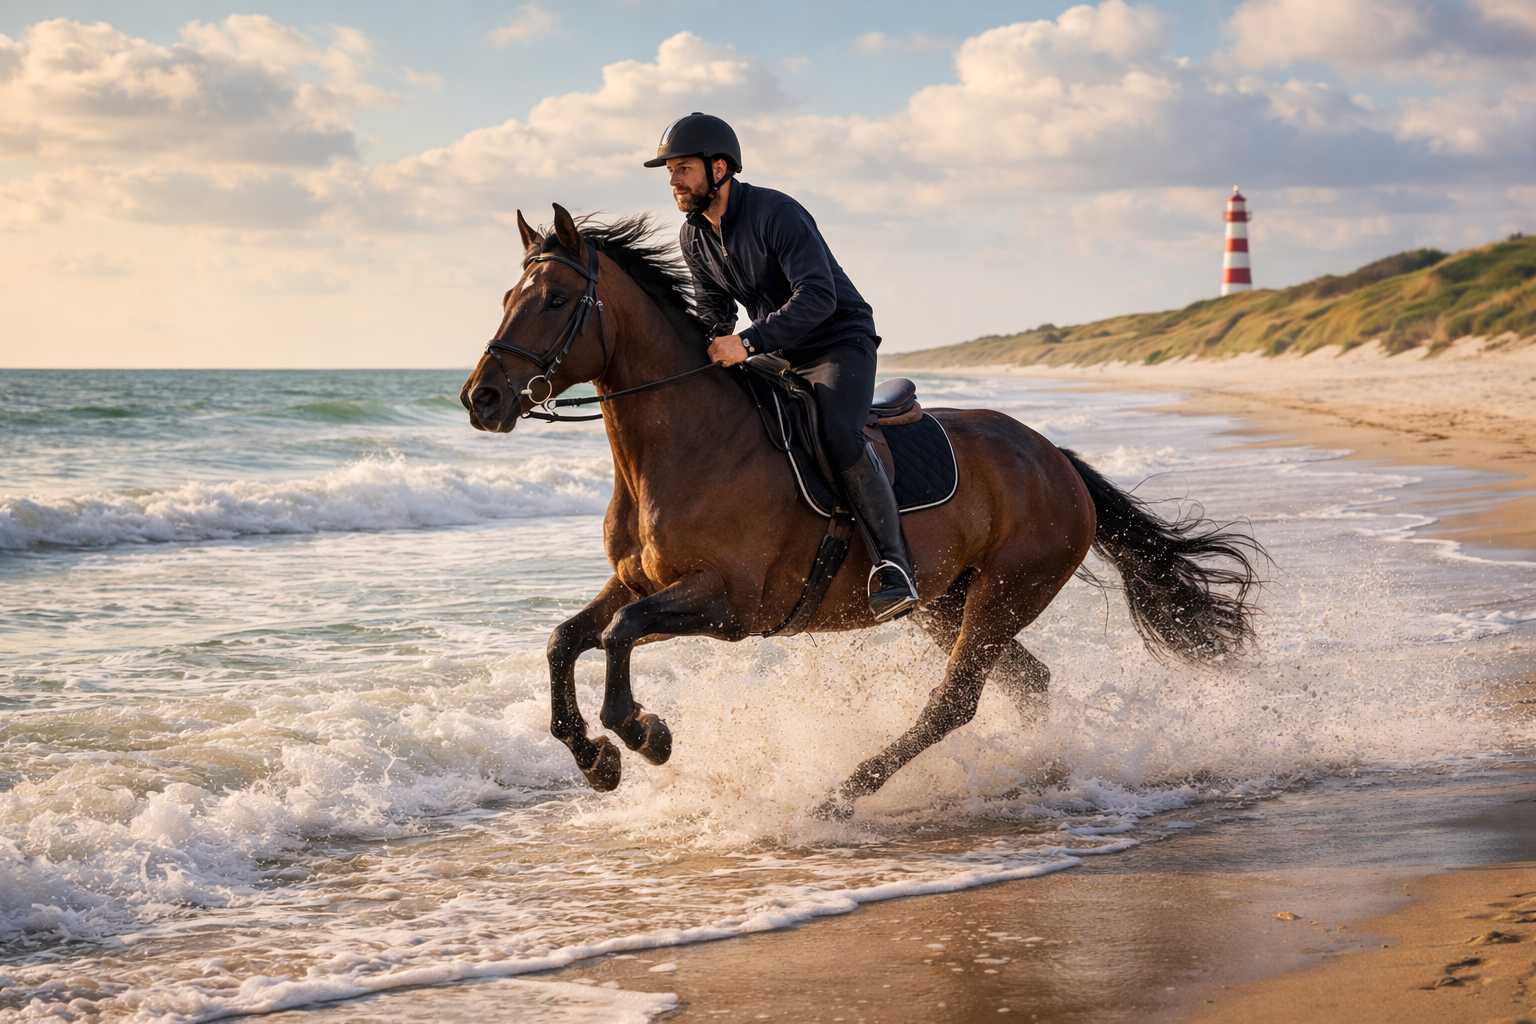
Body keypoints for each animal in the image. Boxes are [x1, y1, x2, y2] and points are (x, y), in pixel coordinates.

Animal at [461, 203, 1263, 817]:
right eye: (503, 299)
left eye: (555, 301)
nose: (481, 398)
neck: (690, 443)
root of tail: (1056, 459)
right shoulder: (640, 582)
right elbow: (566, 639)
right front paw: (595, 758)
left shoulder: (729, 604)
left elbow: (618, 634)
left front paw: (641, 734)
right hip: (948, 603)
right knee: (1025, 685)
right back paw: (1037, 772)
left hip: (1006, 591)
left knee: (954, 703)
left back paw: (842, 794)